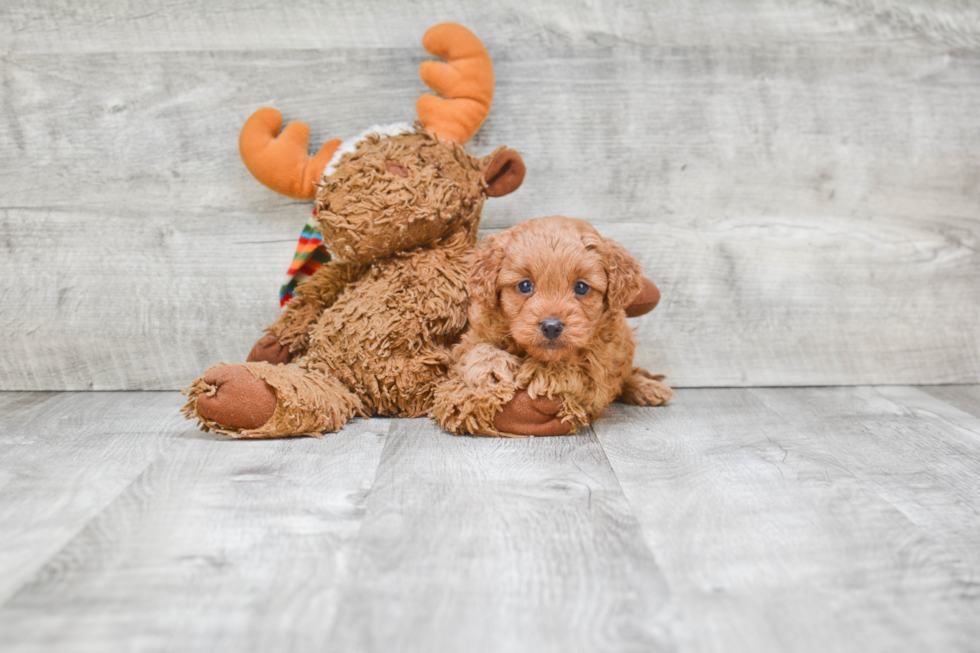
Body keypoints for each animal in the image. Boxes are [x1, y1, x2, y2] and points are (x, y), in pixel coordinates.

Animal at [430, 216, 672, 436]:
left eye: (581, 287)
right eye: (525, 285)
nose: (551, 326)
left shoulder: (600, 370)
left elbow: (578, 369)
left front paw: (540, 372)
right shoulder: (473, 337)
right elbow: (476, 349)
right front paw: (493, 367)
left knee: (626, 375)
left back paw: (648, 387)